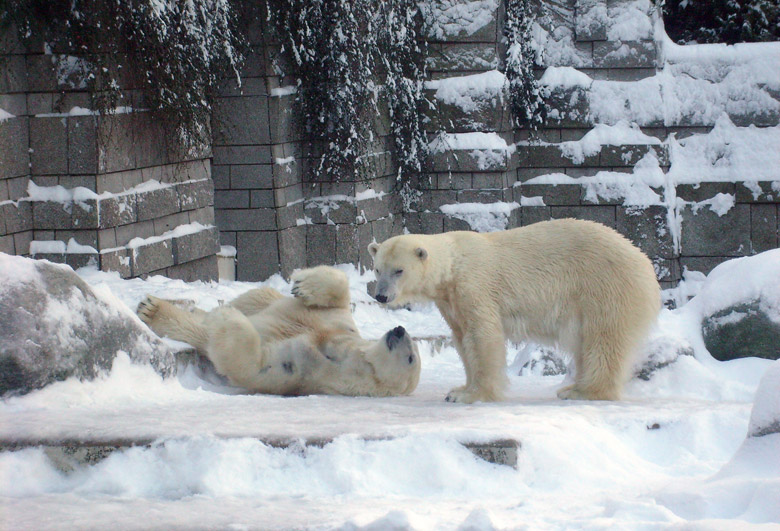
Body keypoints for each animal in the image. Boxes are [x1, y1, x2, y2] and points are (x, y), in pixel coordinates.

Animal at [137, 268, 424, 396]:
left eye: (411, 357)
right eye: (414, 349)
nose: (400, 330)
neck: (339, 351)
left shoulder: (300, 369)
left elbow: (251, 363)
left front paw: (229, 319)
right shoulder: (339, 322)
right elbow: (339, 290)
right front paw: (304, 284)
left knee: (203, 332)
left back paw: (152, 309)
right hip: (266, 299)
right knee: (257, 296)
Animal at [368, 219, 660, 404]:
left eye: (399, 270)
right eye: (377, 268)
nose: (381, 295)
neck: (453, 265)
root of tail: (644, 262)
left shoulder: (474, 285)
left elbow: (483, 337)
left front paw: (471, 395)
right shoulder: (451, 300)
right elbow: (462, 338)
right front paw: (459, 388)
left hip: (604, 288)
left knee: (603, 339)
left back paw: (582, 391)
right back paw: (575, 386)